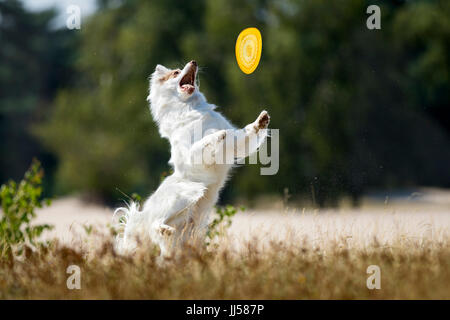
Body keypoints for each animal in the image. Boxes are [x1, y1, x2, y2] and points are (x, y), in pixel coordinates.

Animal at [116, 59, 270, 255]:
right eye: (176, 72)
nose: (194, 62)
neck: (190, 107)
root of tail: (142, 217)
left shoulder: (237, 145)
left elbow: (247, 133)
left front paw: (261, 121)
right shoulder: (190, 153)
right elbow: (203, 144)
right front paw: (217, 135)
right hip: (184, 195)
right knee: (154, 224)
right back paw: (163, 228)